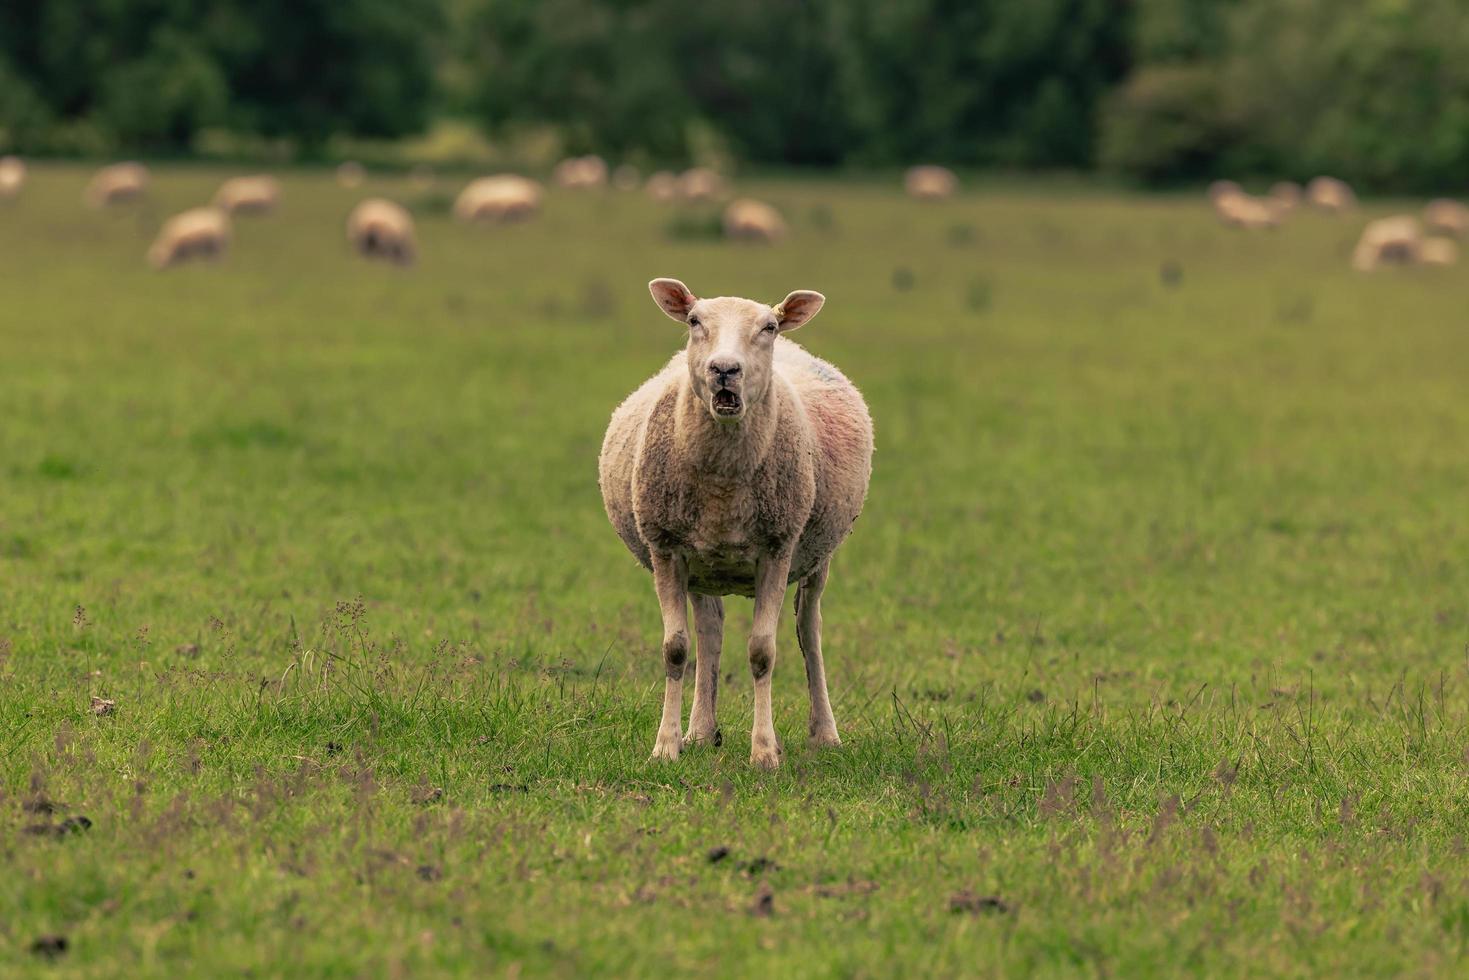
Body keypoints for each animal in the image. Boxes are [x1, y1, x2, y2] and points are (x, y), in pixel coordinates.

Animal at [596, 279, 869, 769]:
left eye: (769, 327)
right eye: (694, 321)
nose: (725, 369)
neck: (723, 484)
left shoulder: (778, 547)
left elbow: (763, 652)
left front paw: (764, 752)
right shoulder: (666, 547)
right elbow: (676, 649)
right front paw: (666, 746)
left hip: (817, 553)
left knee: (809, 630)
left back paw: (824, 733)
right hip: (704, 563)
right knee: (710, 628)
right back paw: (702, 731)